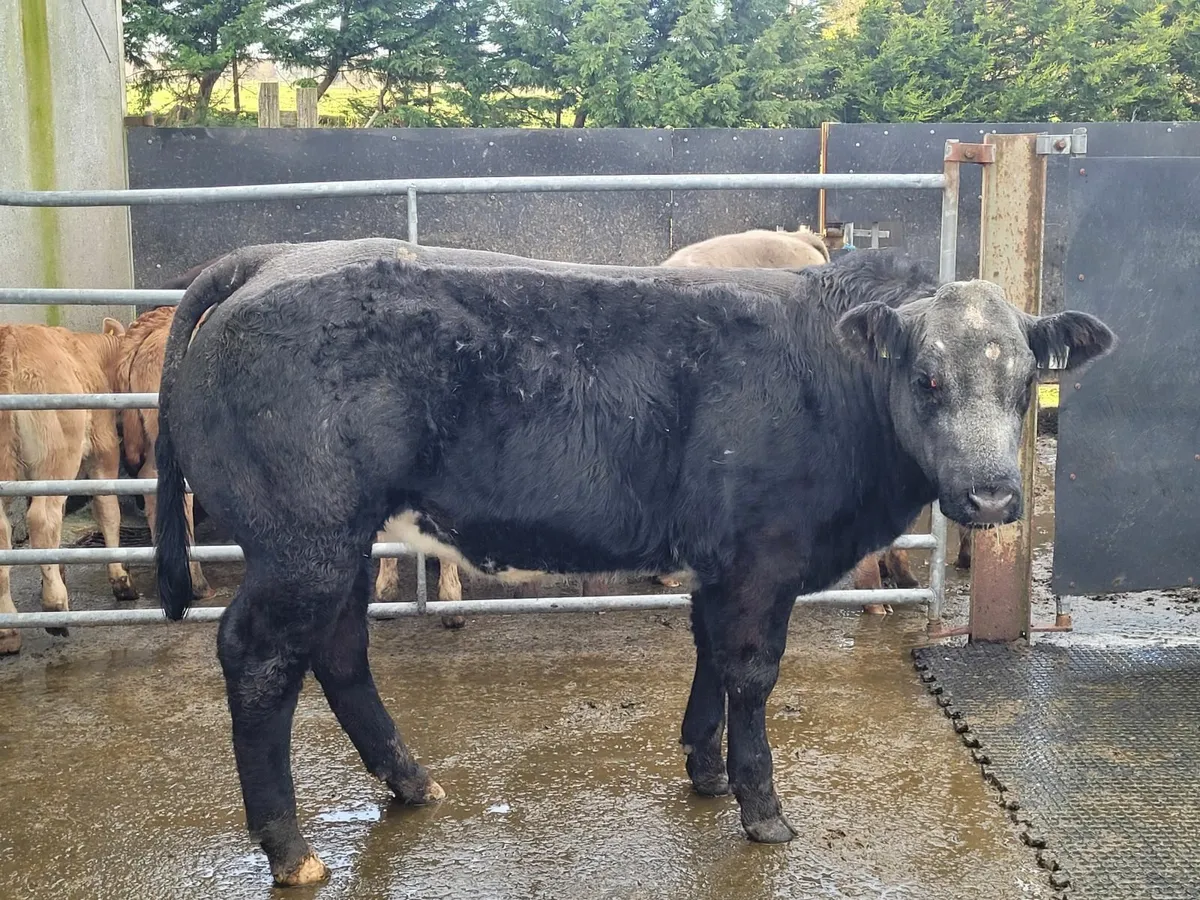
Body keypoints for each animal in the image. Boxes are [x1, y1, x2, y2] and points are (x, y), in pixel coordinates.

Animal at [0, 319, 140, 655]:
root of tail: (9, 340)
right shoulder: (103, 449)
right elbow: (108, 510)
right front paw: (121, 579)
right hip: (57, 455)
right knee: (42, 520)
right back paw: (55, 610)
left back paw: (9, 631)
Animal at [151, 238, 1114, 886]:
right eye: (926, 378)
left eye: (1025, 382)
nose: (991, 498)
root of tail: (274, 257)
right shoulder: (764, 557)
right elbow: (752, 672)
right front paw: (762, 809)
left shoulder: (720, 560)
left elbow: (710, 655)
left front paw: (705, 769)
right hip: (301, 540)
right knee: (259, 659)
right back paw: (290, 846)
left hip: (338, 544)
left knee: (341, 649)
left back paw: (410, 781)